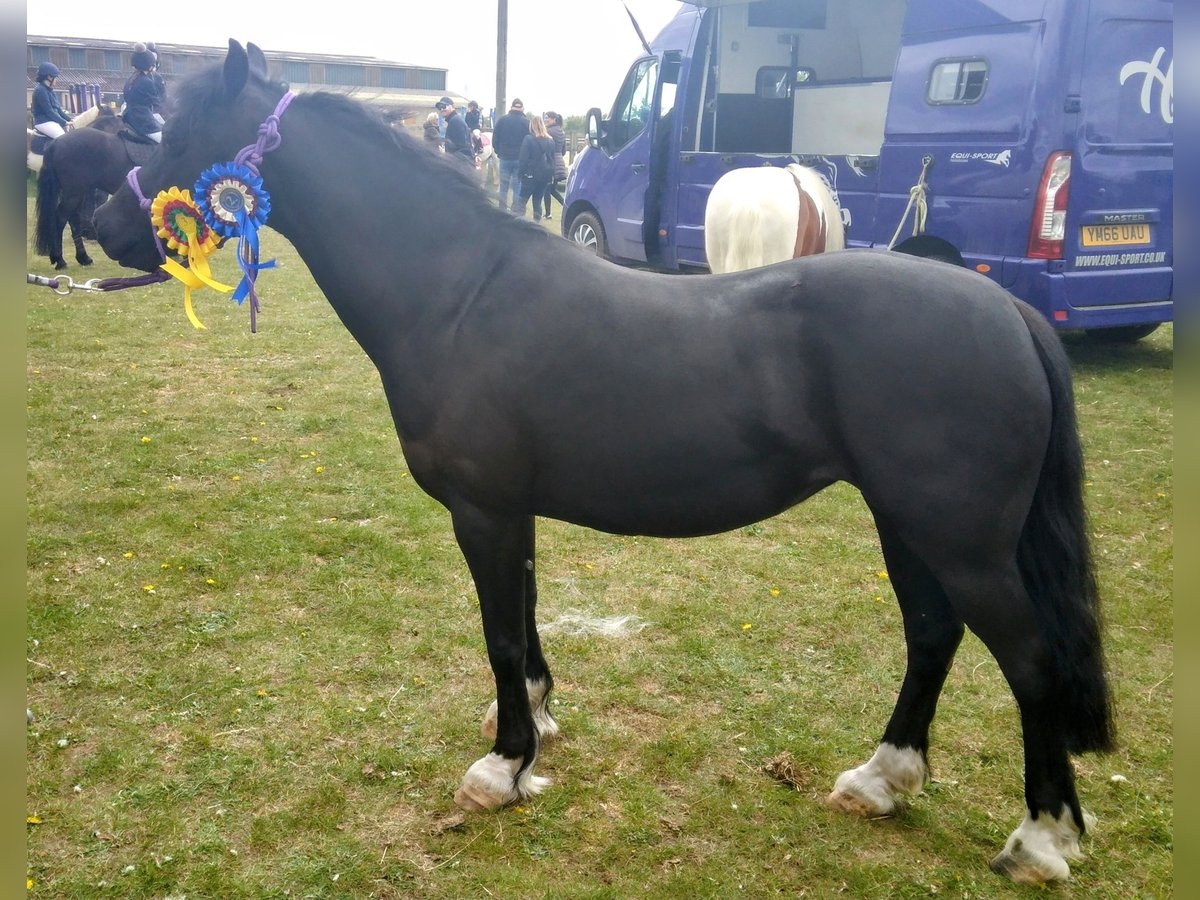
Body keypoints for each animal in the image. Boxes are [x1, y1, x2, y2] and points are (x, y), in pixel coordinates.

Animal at [34, 112, 157, 270]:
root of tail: (56, 143)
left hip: (78, 193)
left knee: (73, 219)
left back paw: (83, 258)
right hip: (73, 194)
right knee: (61, 219)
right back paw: (60, 260)